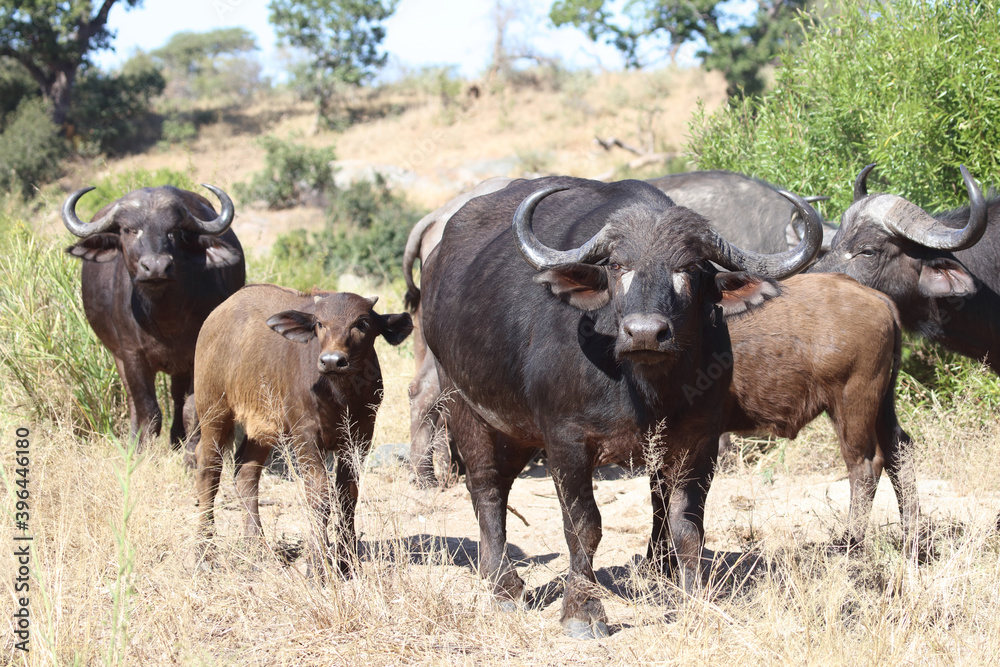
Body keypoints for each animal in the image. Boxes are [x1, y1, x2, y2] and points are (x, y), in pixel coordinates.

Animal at [63, 185, 245, 452]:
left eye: (174, 231)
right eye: (128, 230)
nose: (156, 267)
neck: (164, 319)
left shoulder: (196, 355)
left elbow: (192, 408)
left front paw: (192, 450)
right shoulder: (132, 355)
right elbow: (148, 410)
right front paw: (141, 451)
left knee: (178, 398)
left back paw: (178, 439)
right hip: (118, 356)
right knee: (133, 401)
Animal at [193, 284, 412, 576]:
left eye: (362, 323)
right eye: (319, 323)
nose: (332, 360)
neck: (340, 395)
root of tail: (216, 315)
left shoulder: (361, 436)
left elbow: (347, 494)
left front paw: (346, 562)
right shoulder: (305, 436)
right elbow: (318, 494)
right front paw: (318, 566)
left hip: (262, 427)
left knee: (246, 473)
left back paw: (257, 549)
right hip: (213, 411)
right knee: (209, 469)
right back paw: (204, 553)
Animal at [418, 175, 816, 640]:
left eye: (690, 268)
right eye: (617, 266)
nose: (645, 332)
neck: (643, 387)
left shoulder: (698, 442)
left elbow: (687, 525)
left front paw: (694, 600)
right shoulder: (566, 442)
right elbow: (584, 526)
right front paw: (583, 611)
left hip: (516, 430)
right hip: (463, 403)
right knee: (486, 487)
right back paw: (503, 586)